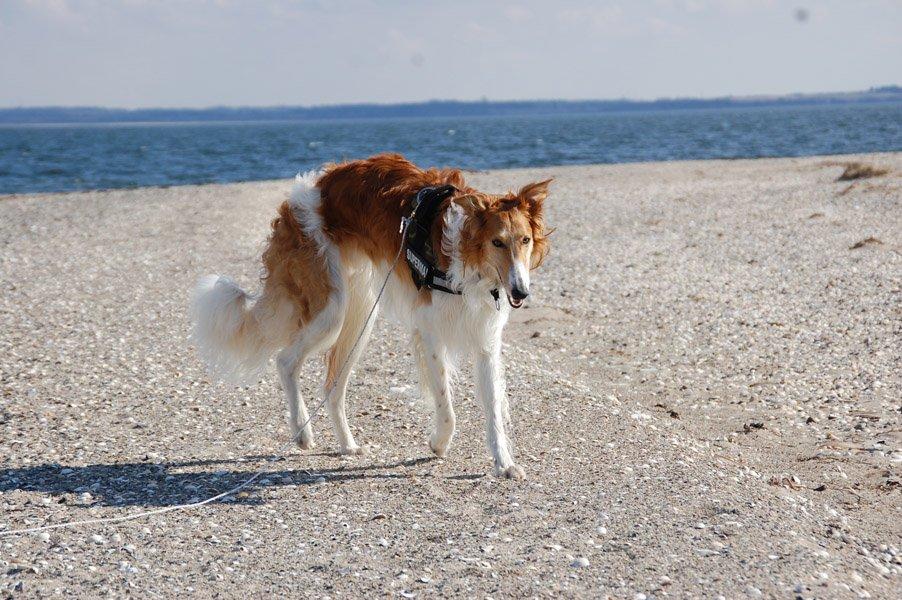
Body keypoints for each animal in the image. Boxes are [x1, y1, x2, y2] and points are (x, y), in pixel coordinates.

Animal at [192, 154, 552, 478]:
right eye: (497, 242)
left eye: (525, 240)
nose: (521, 292)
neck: (467, 258)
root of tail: (307, 187)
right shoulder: (430, 331)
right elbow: (446, 404)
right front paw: (439, 443)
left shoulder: (485, 340)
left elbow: (494, 411)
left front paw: (504, 464)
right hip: (332, 311)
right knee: (286, 361)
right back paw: (302, 432)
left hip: (361, 313)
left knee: (332, 386)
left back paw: (347, 444)